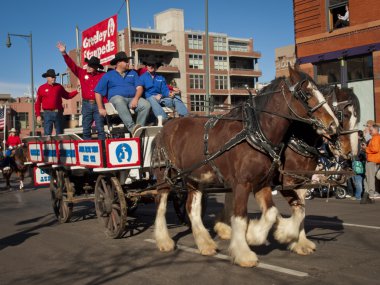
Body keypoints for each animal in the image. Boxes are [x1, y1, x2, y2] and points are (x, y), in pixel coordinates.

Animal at [151, 65, 338, 266]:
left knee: (192, 208)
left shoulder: (263, 182)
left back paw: (205, 243)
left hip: (194, 178)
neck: (255, 134)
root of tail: (166, 126)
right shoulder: (245, 183)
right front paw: (244, 252)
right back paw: (164, 240)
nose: (333, 124)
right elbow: (241, 217)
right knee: (161, 204)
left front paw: (261, 234)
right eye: (306, 93)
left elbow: (275, 212)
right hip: (165, 176)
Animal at [214, 85, 360, 254]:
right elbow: (290, 211)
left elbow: (300, 210)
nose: (350, 153)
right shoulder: (284, 181)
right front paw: (283, 232)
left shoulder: (302, 182)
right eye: (344, 115)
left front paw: (300, 242)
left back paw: (224, 226)